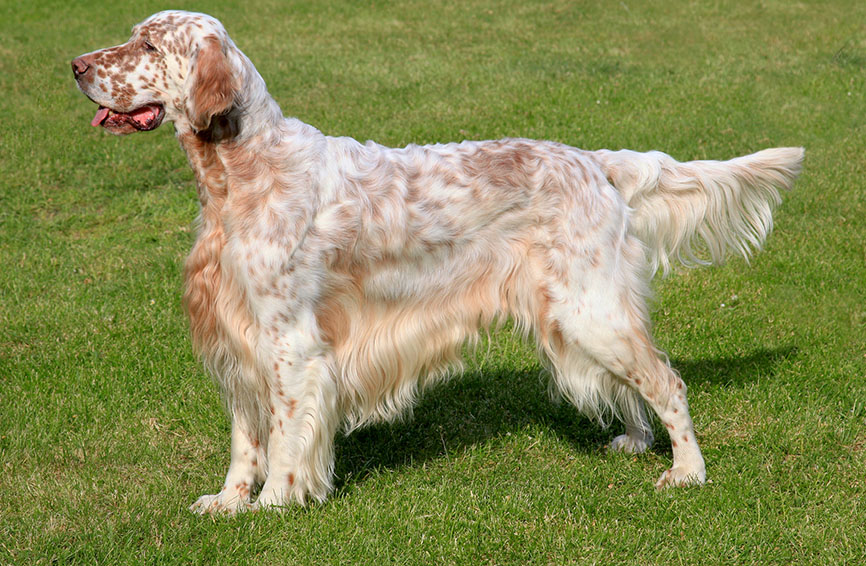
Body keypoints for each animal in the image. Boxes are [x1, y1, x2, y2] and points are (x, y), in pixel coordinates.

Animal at [72, 10, 804, 516]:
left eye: (148, 45)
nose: (75, 65)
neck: (240, 175)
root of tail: (596, 161)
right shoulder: (237, 336)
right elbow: (244, 439)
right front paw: (228, 502)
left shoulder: (288, 344)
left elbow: (283, 438)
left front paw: (274, 504)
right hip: (576, 314)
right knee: (634, 384)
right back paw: (634, 441)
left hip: (588, 308)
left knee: (667, 381)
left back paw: (686, 471)